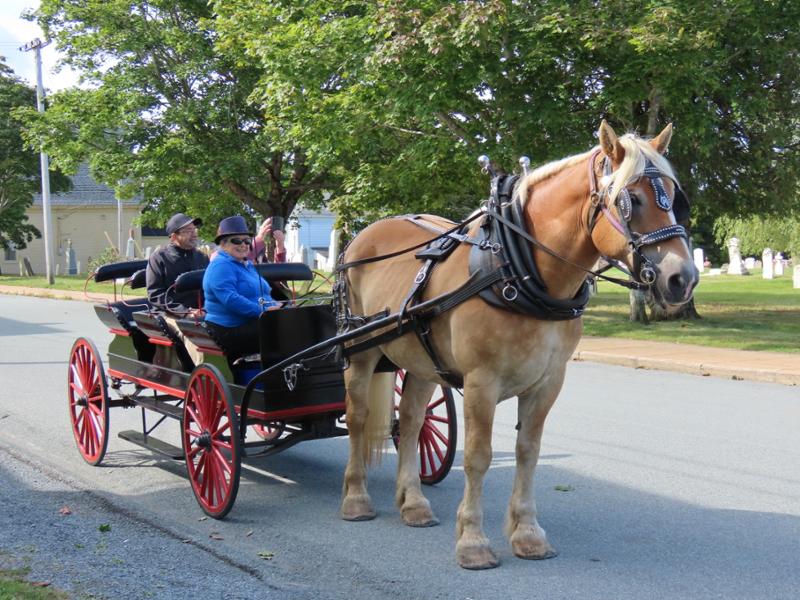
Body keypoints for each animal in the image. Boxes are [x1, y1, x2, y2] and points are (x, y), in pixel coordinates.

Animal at [338, 120, 700, 568]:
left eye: (674, 198)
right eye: (630, 199)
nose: (682, 278)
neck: (516, 269)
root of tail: (362, 236)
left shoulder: (548, 382)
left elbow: (528, 451)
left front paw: (527, 533)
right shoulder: (481, 381)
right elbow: (479, 456)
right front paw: (473, 540)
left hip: (422, 359)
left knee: (410, 422)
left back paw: (414, 504)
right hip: (361, 350)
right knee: (357, 417)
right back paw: (356, 498)